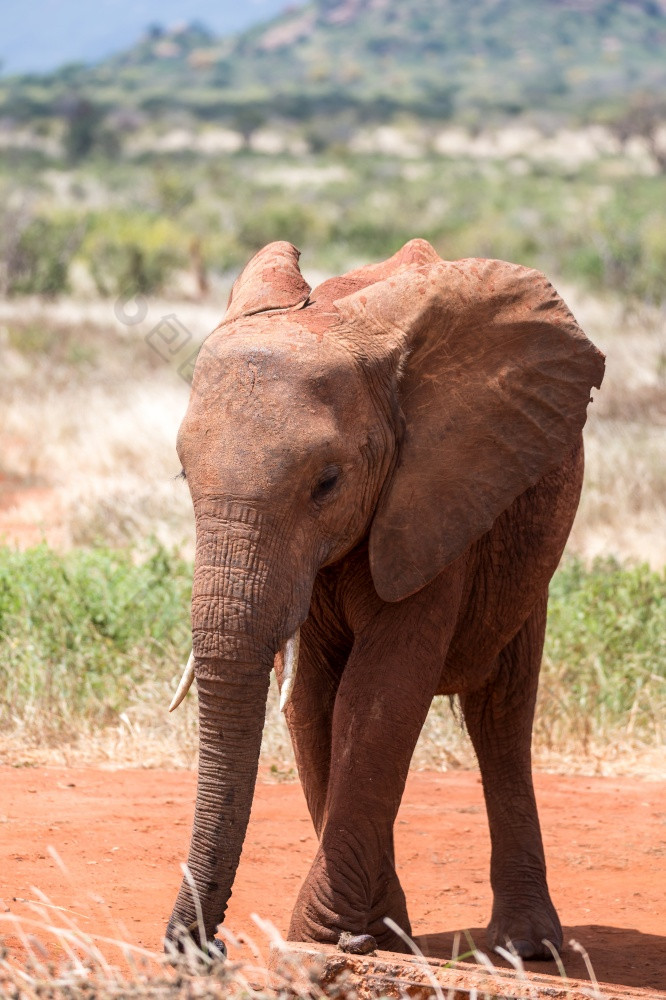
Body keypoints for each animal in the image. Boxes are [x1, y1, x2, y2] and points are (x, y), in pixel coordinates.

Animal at [165, 236, 600, 960]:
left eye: (327, 482)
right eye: (182, 474)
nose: (204, 949)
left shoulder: (436, 494)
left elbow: (379, 694)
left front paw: (328, 935)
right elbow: (313, 699)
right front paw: (361, 936)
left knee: (502, 714)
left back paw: (524, 949)